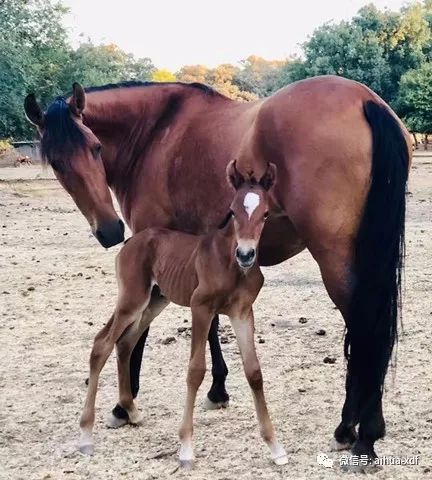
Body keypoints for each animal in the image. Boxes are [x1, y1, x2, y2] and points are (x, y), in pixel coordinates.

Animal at [78, 160, 286, 464]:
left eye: (266, 213)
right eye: (233, 211)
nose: (246, 254)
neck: (230, 264)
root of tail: (131, 241)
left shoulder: (242, 312)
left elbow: (254, 372)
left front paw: (275, 447)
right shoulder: (201, 307)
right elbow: (195, 370)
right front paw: (186, 447)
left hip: (154, 301)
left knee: (125, 343)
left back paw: (132, 411)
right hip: (132, 299)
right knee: (102, 343)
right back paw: (85, 435)